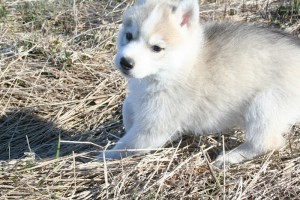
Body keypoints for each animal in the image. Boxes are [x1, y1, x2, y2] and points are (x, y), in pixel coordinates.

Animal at [99, 0, 300, 166]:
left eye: (156, 48)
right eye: (128, 35)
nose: (125, 62)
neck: (178, 67)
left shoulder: (153, 128)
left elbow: (126, 145)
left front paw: (100, 158)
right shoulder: (141, 100)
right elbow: (127, 107)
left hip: (264, 106)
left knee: (267, 142)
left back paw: (231, 157)